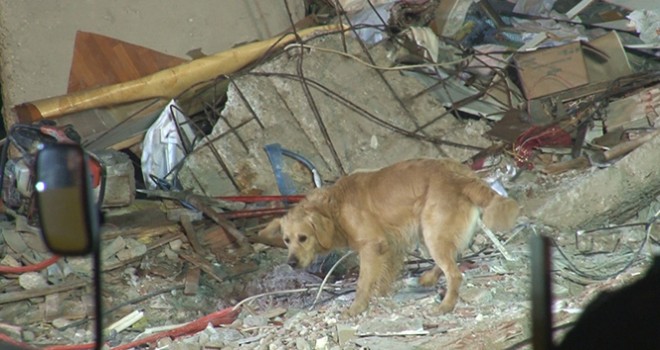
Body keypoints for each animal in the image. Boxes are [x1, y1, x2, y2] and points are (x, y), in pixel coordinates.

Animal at [260, 157, 520, 316]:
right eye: (286, 240)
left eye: (303, 238)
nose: (291, 263)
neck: (334, 205)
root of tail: (460, 175)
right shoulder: (391, 244)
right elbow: (385, 274)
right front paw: (382, 293)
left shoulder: (371, 246)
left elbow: (363, 281)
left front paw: (357, 307)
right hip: (428, 232)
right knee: (452, 257)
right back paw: (428, 278)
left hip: (431, 231)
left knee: (454, 273)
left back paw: (445, 305)